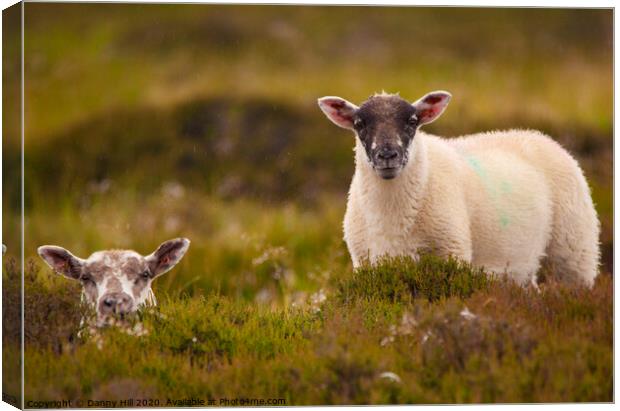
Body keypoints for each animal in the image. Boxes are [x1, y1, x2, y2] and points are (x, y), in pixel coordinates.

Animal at [318, 92, 600, 288]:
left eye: (412, 121)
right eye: (359, 123)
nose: (387, 155)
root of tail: (541, 137)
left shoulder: (451, 254)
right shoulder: (367, 262)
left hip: (573, 251)